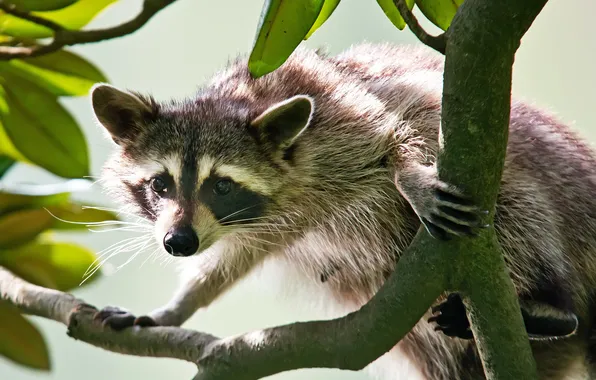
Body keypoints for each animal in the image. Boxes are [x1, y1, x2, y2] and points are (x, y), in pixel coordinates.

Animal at [89, 43, 596, 378]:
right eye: (160, 184)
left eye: (222, 186)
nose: (178, 242)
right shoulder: (269, 223)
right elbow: (233, 260)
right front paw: (176, 308)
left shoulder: (340, 113)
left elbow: (401, 129)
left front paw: (408, 176)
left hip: (553, 194)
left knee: (517, 203)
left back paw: (551, 306)